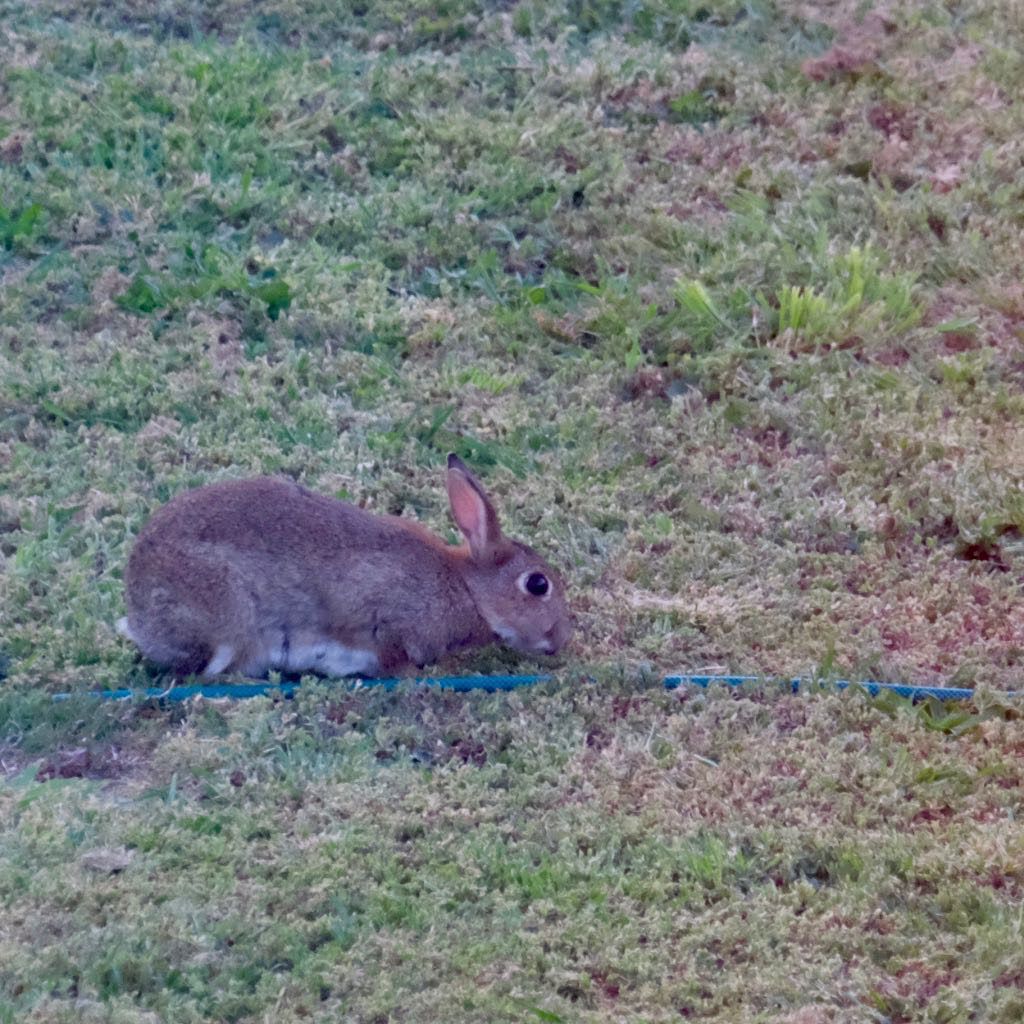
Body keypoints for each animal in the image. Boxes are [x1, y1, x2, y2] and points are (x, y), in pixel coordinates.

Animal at [117, 454, 572, 678]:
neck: (467, 589)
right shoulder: (387, 620)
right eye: (537, 585)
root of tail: (139, 616)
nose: (561, 640)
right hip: (227, 618)